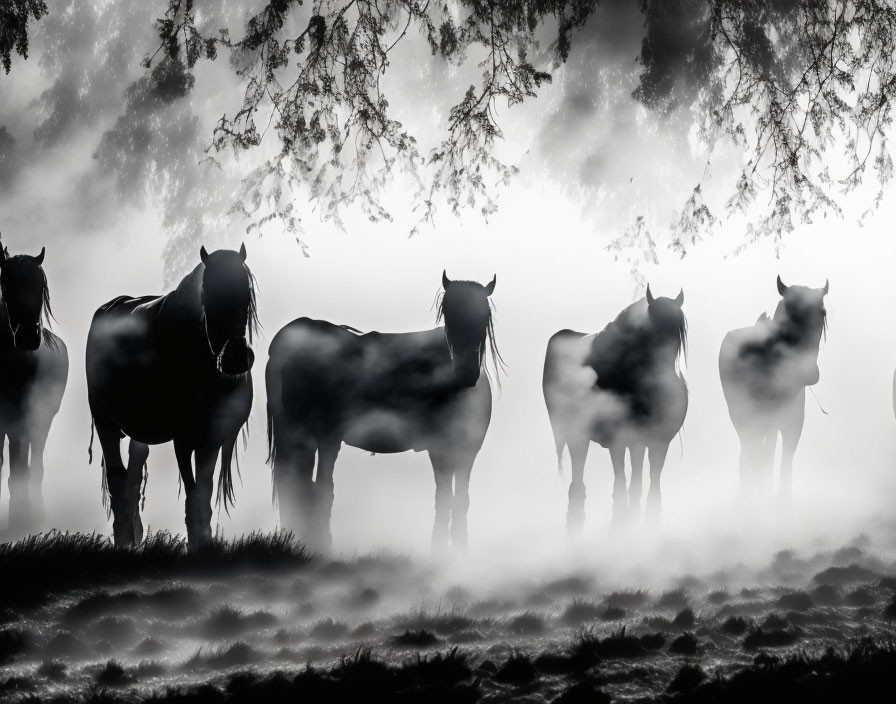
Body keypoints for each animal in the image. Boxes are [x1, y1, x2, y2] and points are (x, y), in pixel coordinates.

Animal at [86, 245, 256, 548]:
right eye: (207, 293)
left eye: (246, 290)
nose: (236, 357)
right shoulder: (184, 438)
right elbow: (193, 496)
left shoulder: (211, 438)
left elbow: (203, 494)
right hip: (104, 422)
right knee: (117, 479)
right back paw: (123, 539)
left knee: (132, 477)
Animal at [266, 272, 496, 552]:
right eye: (447, 312)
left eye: (485, 315)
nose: (465, 370)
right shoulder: (440, 450)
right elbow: (444, 498)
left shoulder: (466, 451)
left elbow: (458, 499)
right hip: (321, 437)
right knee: (315, 489)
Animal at [544, 286, 688, 532]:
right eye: (651, 332)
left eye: (678, 335)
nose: (666, 385)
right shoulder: (626, 440)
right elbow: (629, 483)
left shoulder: (659, 441)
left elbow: (652, 482)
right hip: (577, 433)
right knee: (580, 469)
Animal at [716, 276, 828, 500]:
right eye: (789, 311)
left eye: (822, 313)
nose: (808, 372)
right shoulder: (753, 419)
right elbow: (759, 459)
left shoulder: (793, 421)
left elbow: (784, 464)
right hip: (741, 416)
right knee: (750, 454)